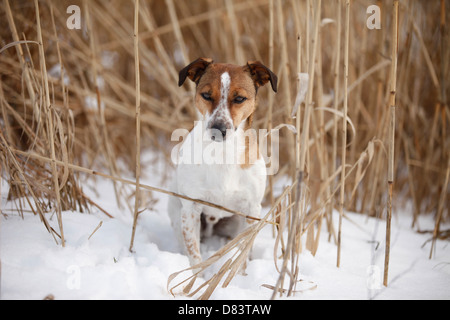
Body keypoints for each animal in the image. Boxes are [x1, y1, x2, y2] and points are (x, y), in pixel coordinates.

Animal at [168, 57, 276, 270]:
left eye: (239, 98)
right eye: (206, 95)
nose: (218, 129)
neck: (222, 153)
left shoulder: (251, 210)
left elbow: (241, 254)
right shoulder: (191, 209)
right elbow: (195, 255)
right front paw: (196, 277)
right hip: (176, 211)